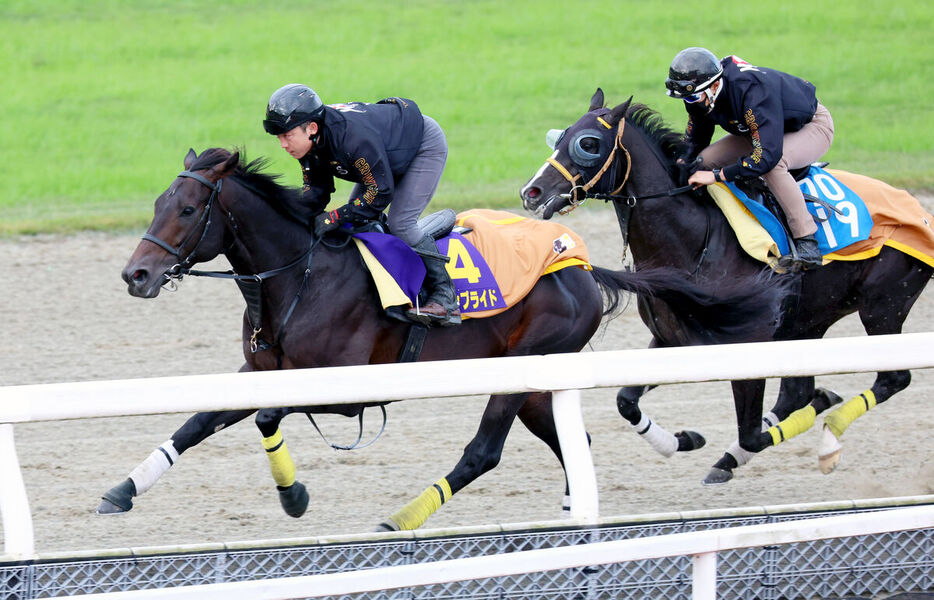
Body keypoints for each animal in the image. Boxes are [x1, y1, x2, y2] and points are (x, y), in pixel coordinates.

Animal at [98, 148, 788, 528]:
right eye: (157, 203)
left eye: (189, 211)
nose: (136, 274)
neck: (300, 275)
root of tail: (579, 262)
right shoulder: (264, 371)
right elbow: (198, 421)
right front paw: (122, 490)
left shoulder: (347, 391)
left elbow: (267, 417)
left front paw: (294, 496)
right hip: (535, 379)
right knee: (572, 438)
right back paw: (584, 501)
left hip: (526, 365)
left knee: (483, 452)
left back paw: (403, 516)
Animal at [524, 88, 932, 482]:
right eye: (560, 136)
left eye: (588, 144)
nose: (531, 192)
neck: (691, 243)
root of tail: (920, 211)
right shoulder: (675, 341)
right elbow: (626, 401)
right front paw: (682, 441)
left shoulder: (748, 344)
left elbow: (750, 432)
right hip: (808, 322)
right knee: (798, 391)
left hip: (883, 305)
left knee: (892, 378)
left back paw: (828, 438)